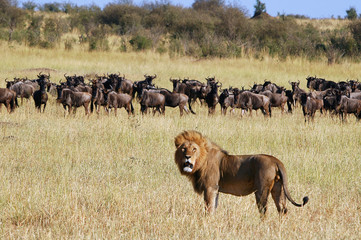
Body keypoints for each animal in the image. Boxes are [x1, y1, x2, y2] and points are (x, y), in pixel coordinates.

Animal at [174, 130, 306, 217]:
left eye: (194, 149)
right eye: (183, 149)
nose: (187, 157)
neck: (202, 160)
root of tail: (276, 160)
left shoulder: (210, 187)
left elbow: (209, 207)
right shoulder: (216, 189)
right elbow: (214, 206)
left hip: (261, 190)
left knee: (264, 210)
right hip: (278, 188)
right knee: (282, 209)